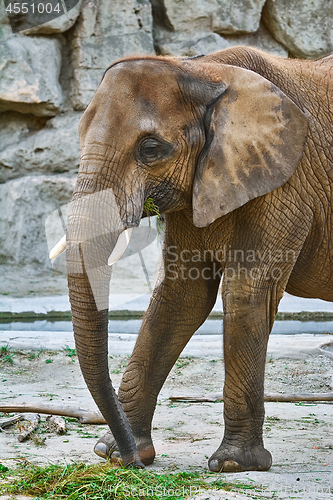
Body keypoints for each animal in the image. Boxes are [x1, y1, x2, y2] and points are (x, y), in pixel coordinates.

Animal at [51, 45, 332, 470]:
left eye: (151, 149)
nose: (132, 461)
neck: (203, 70)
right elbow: (181, 295)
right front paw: (116, 452)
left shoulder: (287, 181)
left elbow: (246, 292)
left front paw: (234, 464)